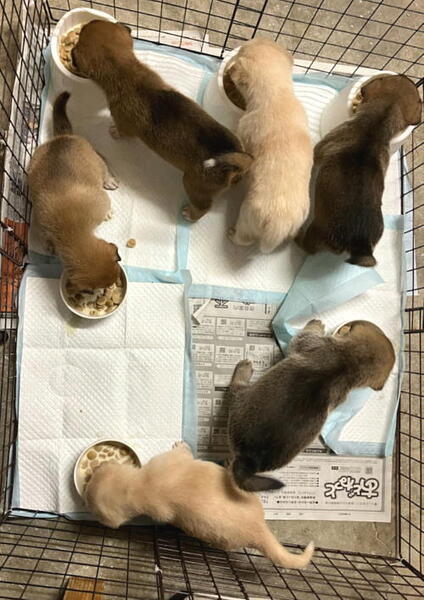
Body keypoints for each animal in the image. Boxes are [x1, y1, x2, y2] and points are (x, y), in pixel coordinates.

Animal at [28, 91, 121, 291]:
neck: (70, 227)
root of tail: (63, 136)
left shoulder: (102, 200)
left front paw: (108, 213)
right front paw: (49, 246)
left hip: (96, 161)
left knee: (104, 166)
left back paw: (109, 180)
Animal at [71, 20, 253, 222]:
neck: (126, 72)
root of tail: (232, 156)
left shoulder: (123, 123)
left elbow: (121, 131)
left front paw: (113, 131)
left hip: (192, 185)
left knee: (203, 207)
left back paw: (190, 213)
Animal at [224, 38, 312, 253]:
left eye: (241, 51)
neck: (277, 93)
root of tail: (279, 226)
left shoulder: (245, 129)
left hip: (247, 216)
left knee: (244, 239)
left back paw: (231, 234)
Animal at [227, 319, 395, 491]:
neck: (350, 361)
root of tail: (248, 460)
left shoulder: (311, 342)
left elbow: (304, 335)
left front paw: (316, 324)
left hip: (241, 400)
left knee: (235, 387)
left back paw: (244, 368)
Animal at [298, 74, 422, 266]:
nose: (402, 74)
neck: (379, 122)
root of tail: (360, 243)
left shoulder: (320, 150)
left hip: (317, 232)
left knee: (307, 246)